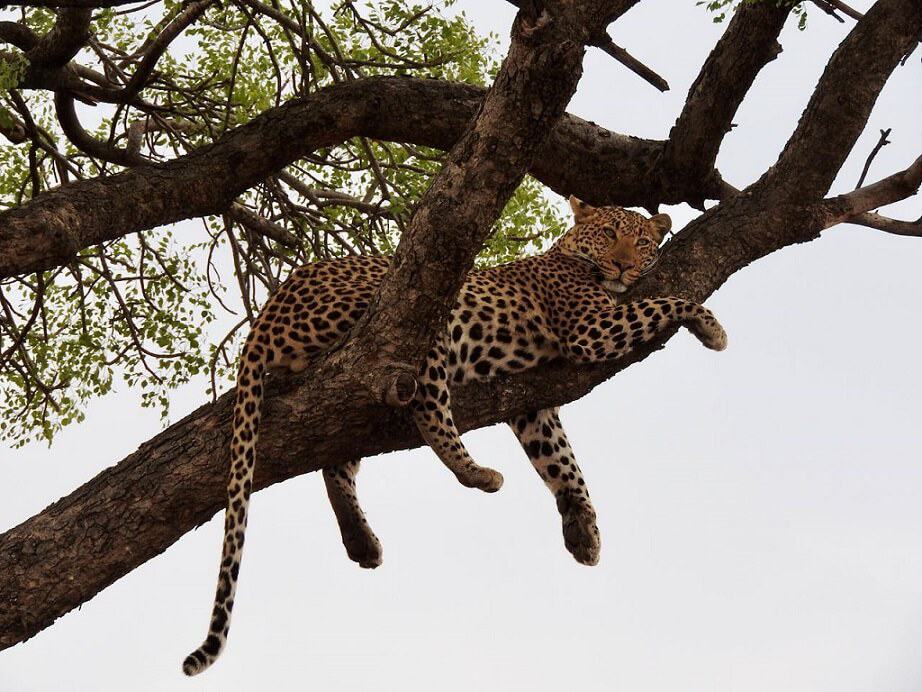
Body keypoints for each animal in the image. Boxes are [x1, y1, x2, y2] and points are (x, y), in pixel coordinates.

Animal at [182, 196, 727, 675]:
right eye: (610, 234)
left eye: (641, 242)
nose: (621, 266)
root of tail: (269, 311)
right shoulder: (591, 328)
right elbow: (668, 300)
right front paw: (713, 329)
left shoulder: (534, 405)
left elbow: (562, 461)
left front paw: (584, 531)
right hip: (424, 318)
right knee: (427, 406)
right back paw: (477, 473)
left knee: (336, 460)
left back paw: (361, 540)